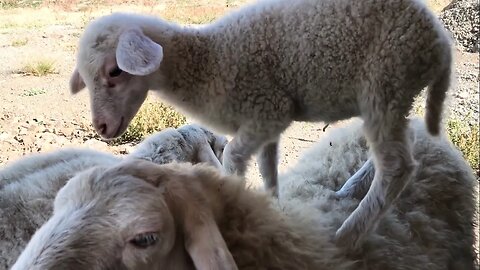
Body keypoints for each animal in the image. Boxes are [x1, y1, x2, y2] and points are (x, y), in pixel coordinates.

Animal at [68, 0, 454, 246]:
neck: (206, 62)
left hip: (386, 81)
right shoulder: (268, 122)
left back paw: (348, 235)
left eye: (115, 72)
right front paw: (273, 211)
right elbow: (268, 169)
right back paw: (349, 190)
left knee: (398, 167)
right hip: (393, 97)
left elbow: (233, 160)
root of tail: (439, 40)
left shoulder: (265, 110)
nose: (101, 129)